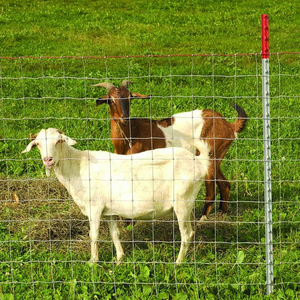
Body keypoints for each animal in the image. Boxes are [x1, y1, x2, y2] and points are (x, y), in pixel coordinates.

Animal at [22, 127, 210, 264]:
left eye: (59, 141)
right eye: (38, 144)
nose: (48, 160)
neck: (78, 167)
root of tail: (200, 162)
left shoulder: (95, 208)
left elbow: (94, 236)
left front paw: (93, 262)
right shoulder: (109, 211)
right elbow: (114, 234)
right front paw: (120, 259)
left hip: (181, 202)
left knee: (186, 234)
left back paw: (178, 263)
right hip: (188, 203)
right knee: (192, 230)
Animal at [93, 81, 246, 219]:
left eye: (130, 98)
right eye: (111, 100)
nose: (124, 118)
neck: (130, 136)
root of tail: (229, 126)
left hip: (210, 155)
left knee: (211, 190)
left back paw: (202, 219)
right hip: (217, 156)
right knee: (225, 184)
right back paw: (222, 213)